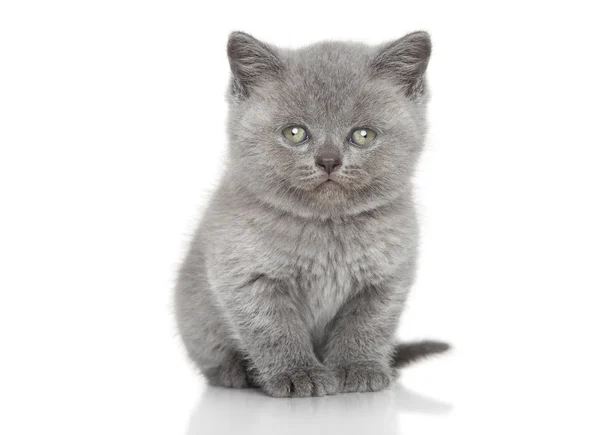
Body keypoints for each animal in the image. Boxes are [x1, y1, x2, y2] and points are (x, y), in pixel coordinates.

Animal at [176, 30, 448, 398]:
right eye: (295, 133)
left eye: (363, 135)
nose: (329, 160)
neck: (327, 229)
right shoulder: (246, 276)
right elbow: (275, 330)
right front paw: (298, 374)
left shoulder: (386, 279)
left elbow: (366, 326)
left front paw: (359, 369)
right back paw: (236, 372)